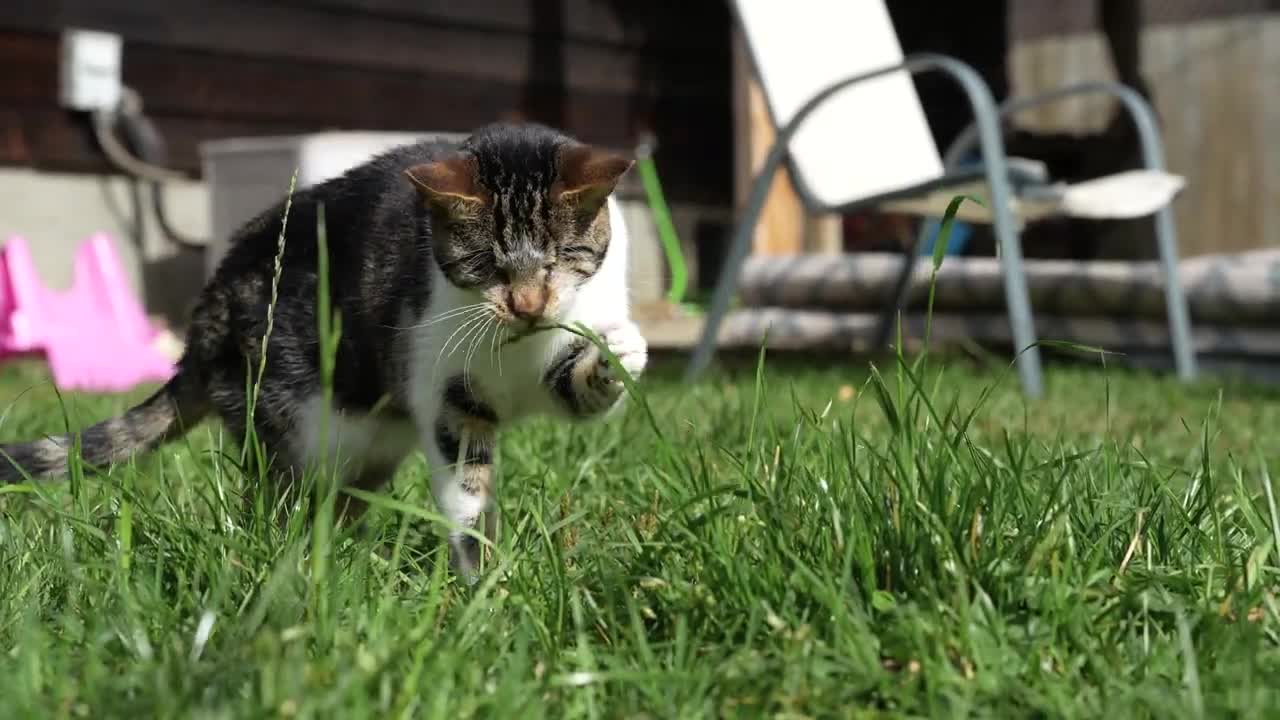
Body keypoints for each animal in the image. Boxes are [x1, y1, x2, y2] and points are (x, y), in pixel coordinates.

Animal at [0, 121, 650, 571]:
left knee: (340, 498)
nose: (526, 306)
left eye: (560, 258)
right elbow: (467, 486)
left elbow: (574, 387)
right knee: (277, 499)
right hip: (293, 424)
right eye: (485, 263)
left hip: (368, 447)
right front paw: (482, 578)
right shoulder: (448, 393)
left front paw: (622, 353)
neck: (516, 348)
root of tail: (205, 316)